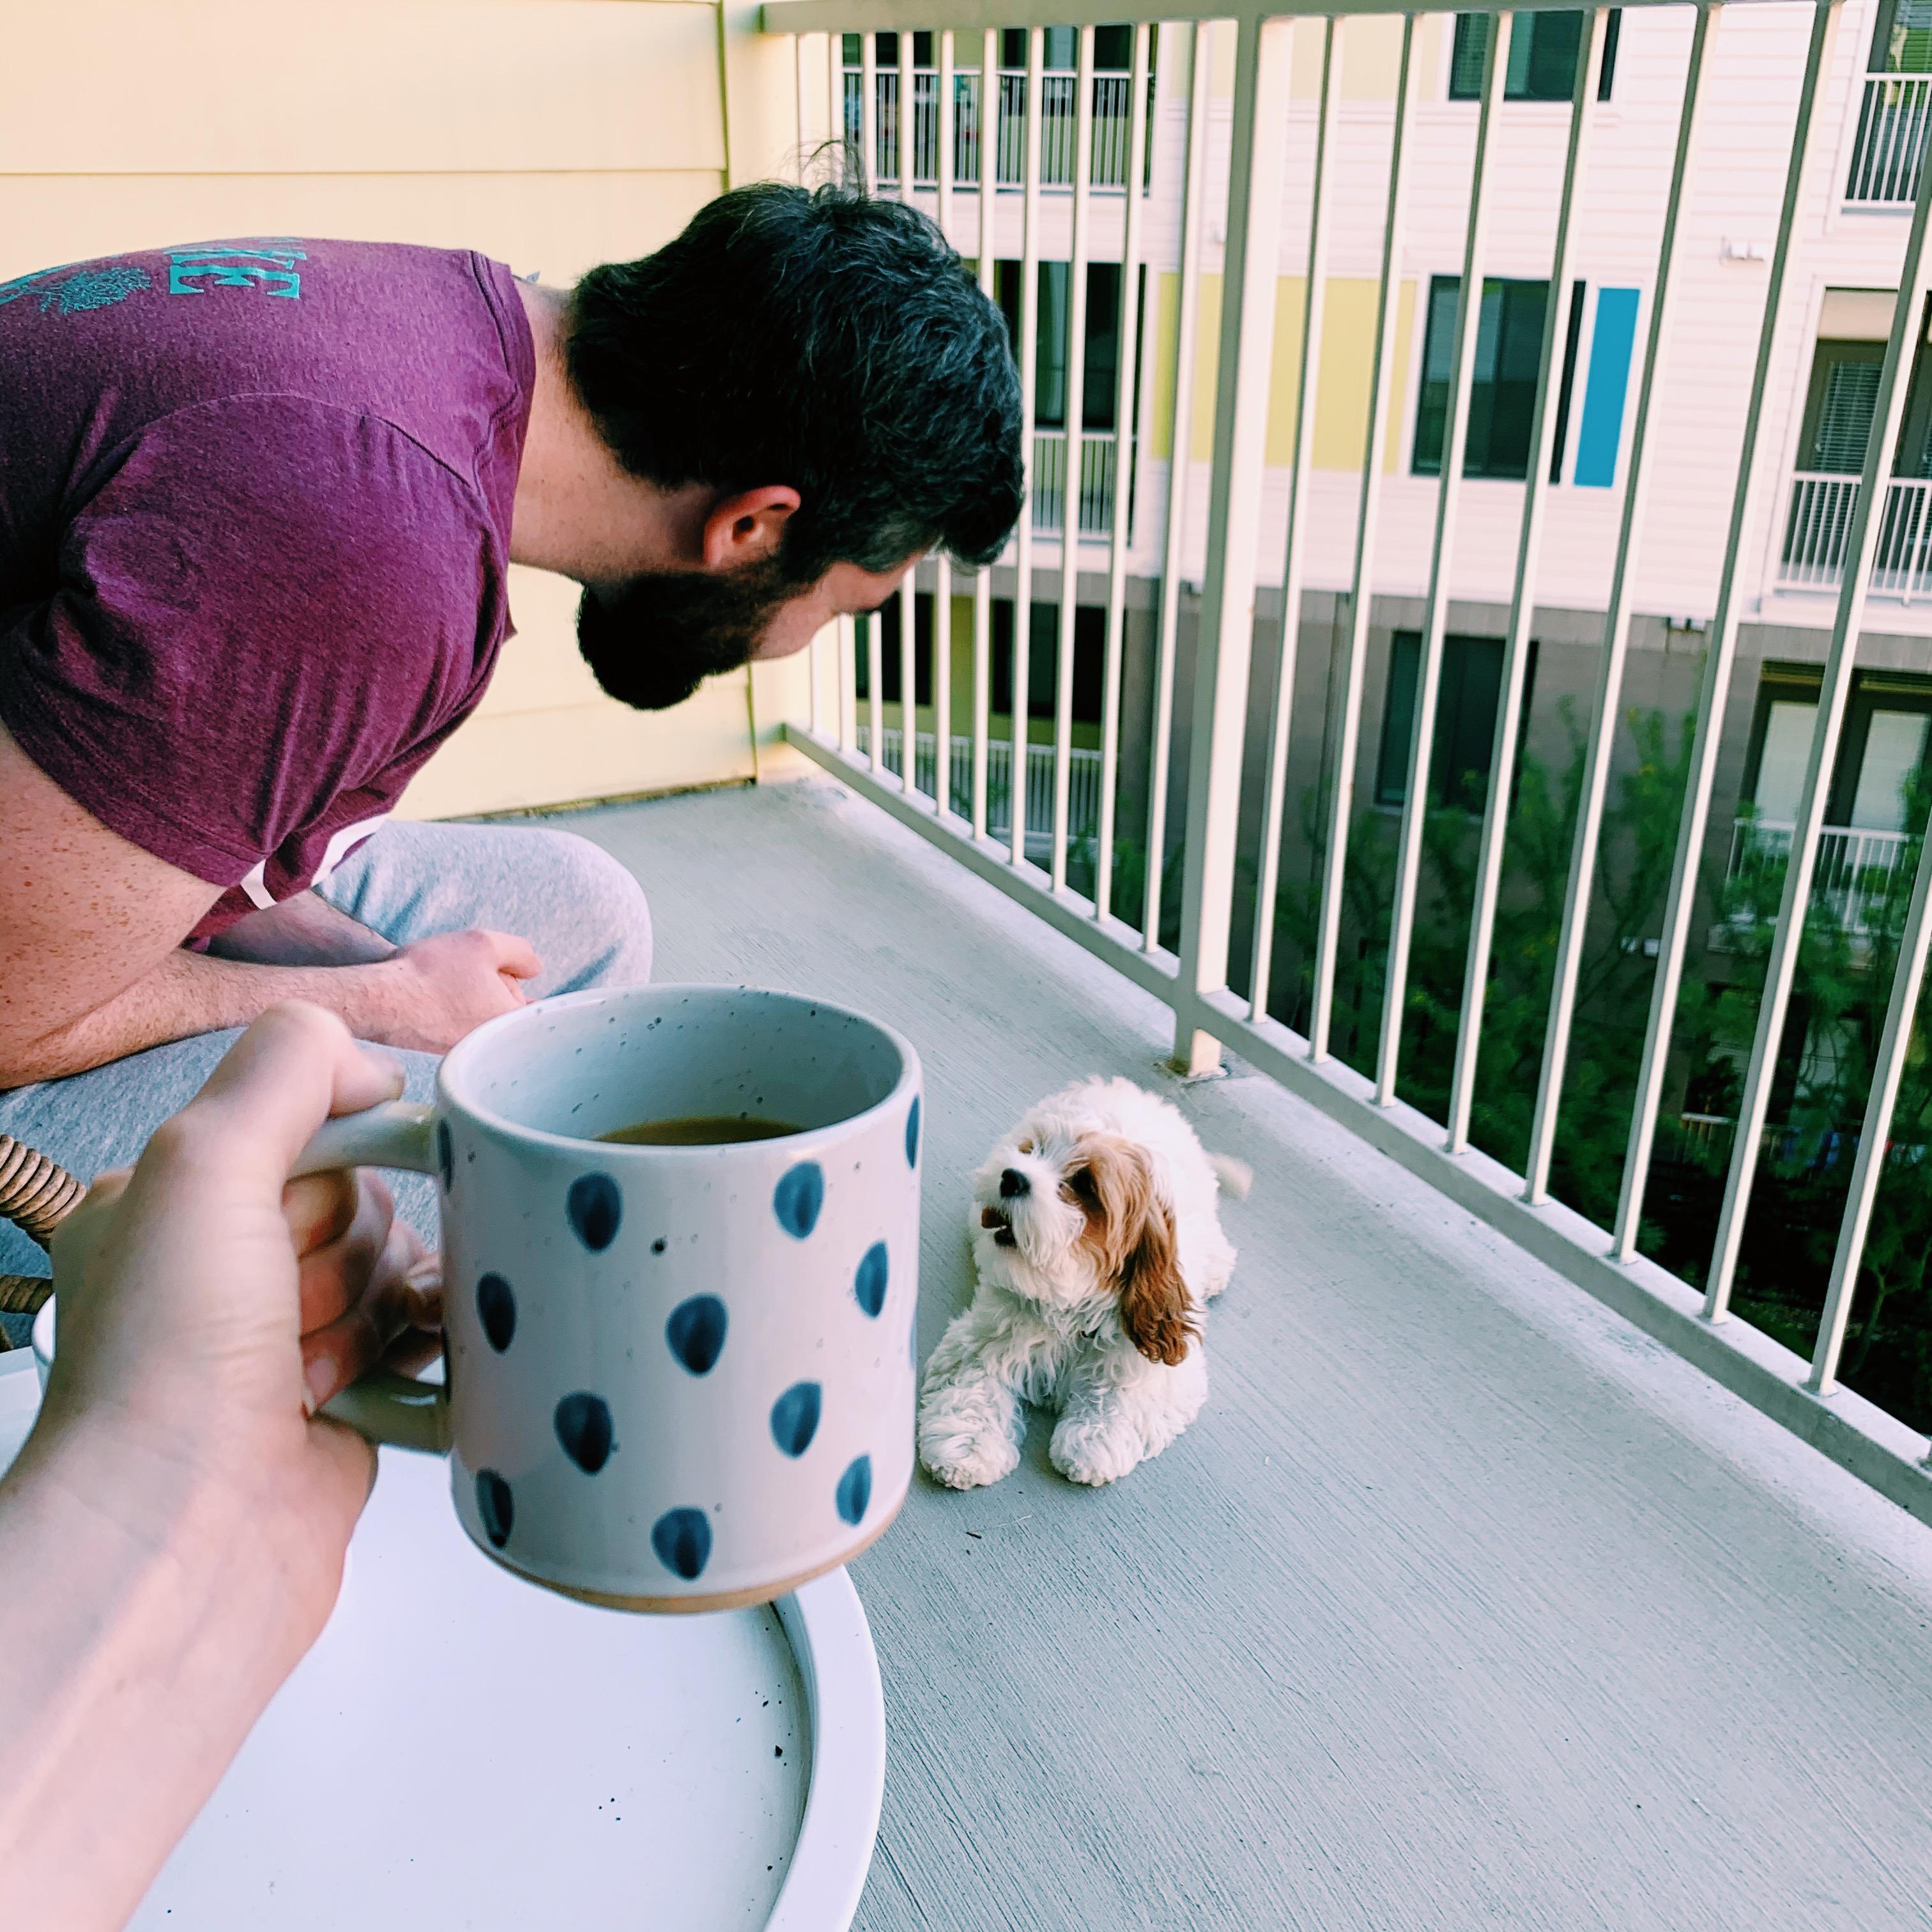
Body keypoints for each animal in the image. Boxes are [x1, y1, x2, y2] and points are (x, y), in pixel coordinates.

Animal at [923, 1082, 1252, 1483]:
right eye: (1031, 1151)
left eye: (1084, 1185)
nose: (1011, 1176)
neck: (1067, 1300)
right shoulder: (984, 1337)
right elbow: (972, 1386)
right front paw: (965, 1447)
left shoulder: (1154, 1360)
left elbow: (1125, 1392)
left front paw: (1093, 1442)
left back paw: (1217, 1266)